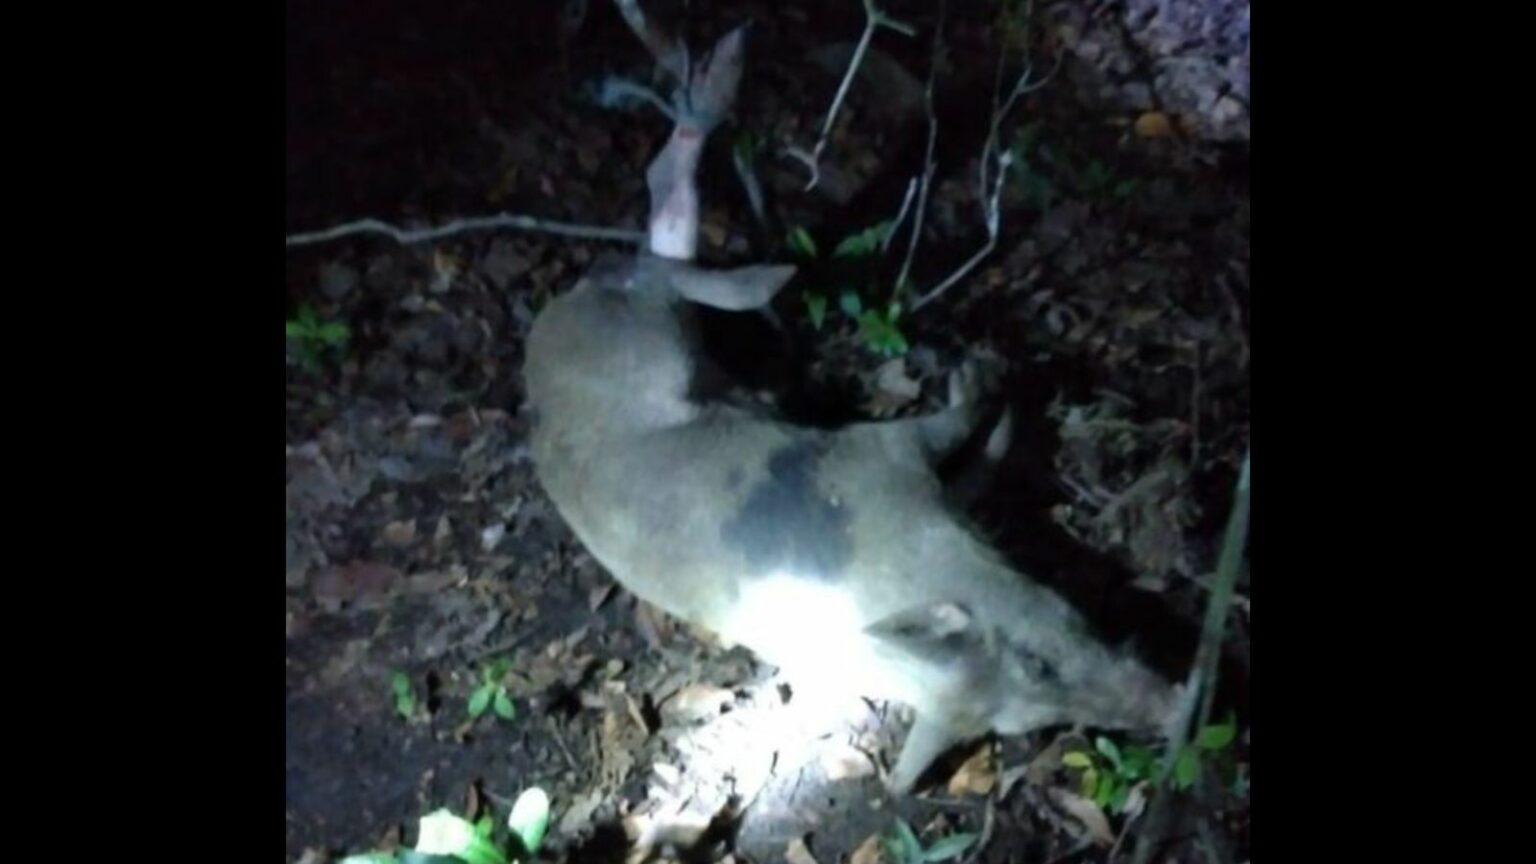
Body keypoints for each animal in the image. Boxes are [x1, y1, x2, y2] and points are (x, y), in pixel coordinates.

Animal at [523, 5, 1183, 793]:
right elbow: (947, 421)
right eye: (1037, 667)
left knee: (663, 228)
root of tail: (545, 327)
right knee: (663, 256)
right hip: (643, 333)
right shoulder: (877, 451)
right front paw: (981, 377)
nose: (1183, 706)